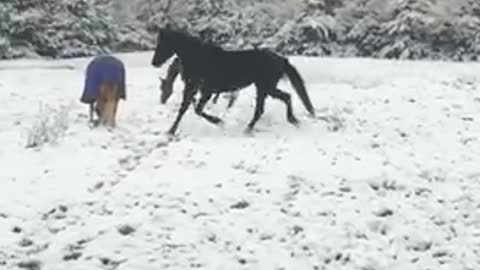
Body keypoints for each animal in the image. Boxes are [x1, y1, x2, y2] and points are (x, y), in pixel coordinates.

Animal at [151, 28, 316, 135]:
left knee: (266, 106)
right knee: (281, 99)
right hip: (266, 87)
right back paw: (290, 121)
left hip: (265, 87)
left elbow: (198, 110)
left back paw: (251, 129)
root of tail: (281, 59)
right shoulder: (192, 89)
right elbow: (184, 109)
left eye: (163, 44)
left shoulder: (207, 91)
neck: (199, 58)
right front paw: (171, 131)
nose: (154, 63)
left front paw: (219, 122)